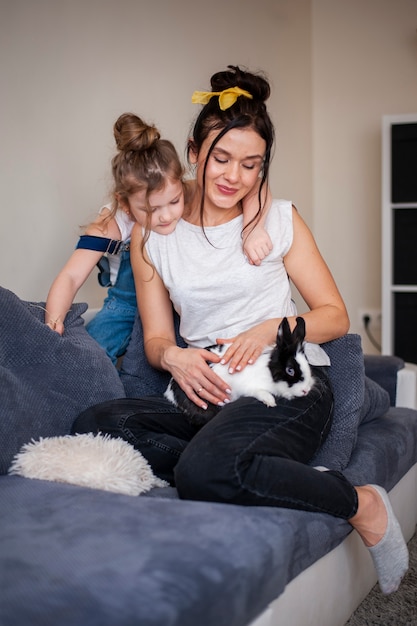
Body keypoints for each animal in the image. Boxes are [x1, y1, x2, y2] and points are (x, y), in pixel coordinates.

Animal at [164, 316, 314, 424]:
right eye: (290, 370)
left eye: (307, 362)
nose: (306, 391)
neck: (268, 371)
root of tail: (170, 393)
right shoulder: (250, 388)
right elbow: (261, 392)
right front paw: (270, 402)